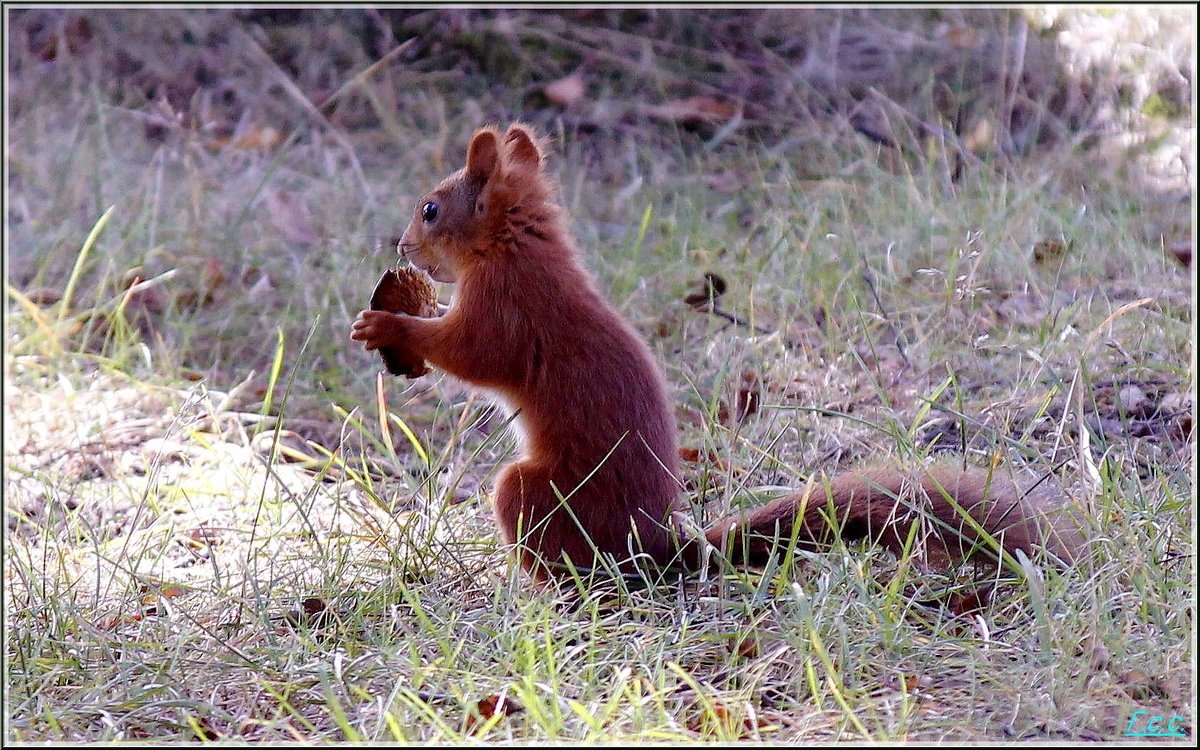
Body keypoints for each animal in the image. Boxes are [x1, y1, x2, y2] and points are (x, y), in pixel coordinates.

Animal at [350, 123, 1089, 583]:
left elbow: (473, 356)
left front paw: (389, 325)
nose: (403, 247)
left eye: (431, 209)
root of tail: (659, 547)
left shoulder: (507, 310)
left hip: (538, 494)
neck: (517, 247)